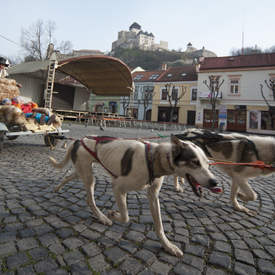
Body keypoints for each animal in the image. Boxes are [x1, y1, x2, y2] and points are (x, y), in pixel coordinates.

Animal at [49, 135, 221, 258]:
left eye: (208, 163)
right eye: (195, 162)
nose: (215, 182)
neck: (154, 158)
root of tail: (79, 140)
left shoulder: (153, 196)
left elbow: (159, 227)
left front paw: (168, 246)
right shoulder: (117, 187)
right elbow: (125, 217)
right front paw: (112, 214)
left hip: (82, 172)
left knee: (68, 177)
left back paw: (58, 187)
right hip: (89, 177)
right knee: (90, 200)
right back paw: (102, 217)